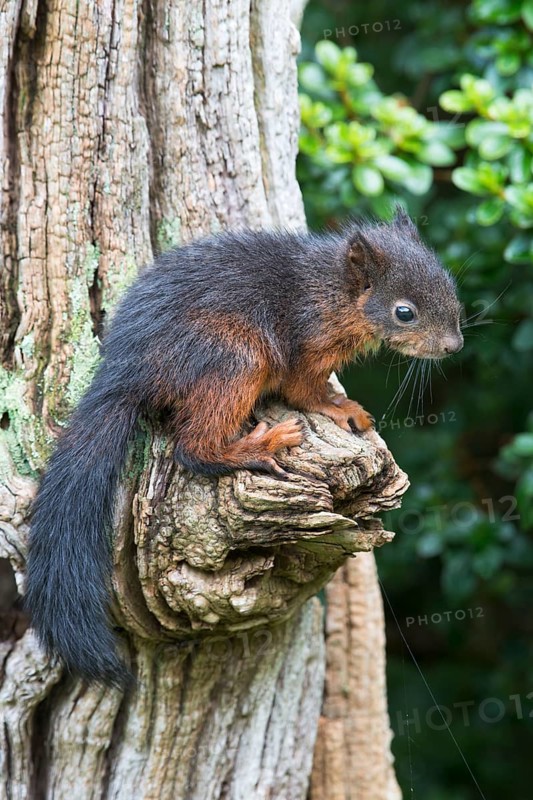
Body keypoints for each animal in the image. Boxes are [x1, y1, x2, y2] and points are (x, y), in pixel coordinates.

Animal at [25, 209, 463, 687]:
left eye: (449, 283)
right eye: (404, 312)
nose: (454, 346)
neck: (332, 292)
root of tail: (127, 373)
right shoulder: (306, 346)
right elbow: (305, 391)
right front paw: (340, 407)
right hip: (234, 358)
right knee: (194, 447)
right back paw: (260, 444)